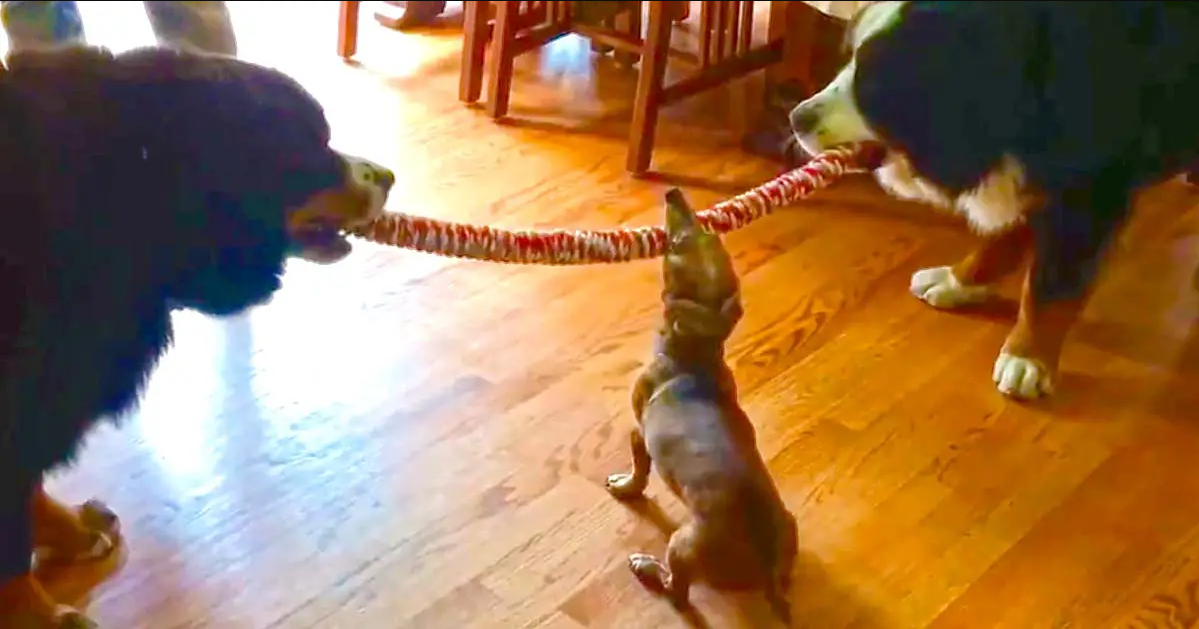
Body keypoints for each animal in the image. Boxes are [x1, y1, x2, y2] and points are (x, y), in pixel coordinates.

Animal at [609, 189, 796, 618]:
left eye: (676, 246)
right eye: (712, 235)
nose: (673, 192)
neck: (695, 351)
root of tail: (764, 565)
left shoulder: (638, 433)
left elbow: (639, 472)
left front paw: (625, 487)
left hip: (681, 545)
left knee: (678, 595)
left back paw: (647, 569)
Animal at [786, 1, 1199, 397]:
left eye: (875, 83)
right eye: (848, 59)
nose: (796, 117)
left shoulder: (1087, 197)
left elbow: (1048, 286)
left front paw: (1028, 357)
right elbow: (1001, 240)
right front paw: (958, 281)